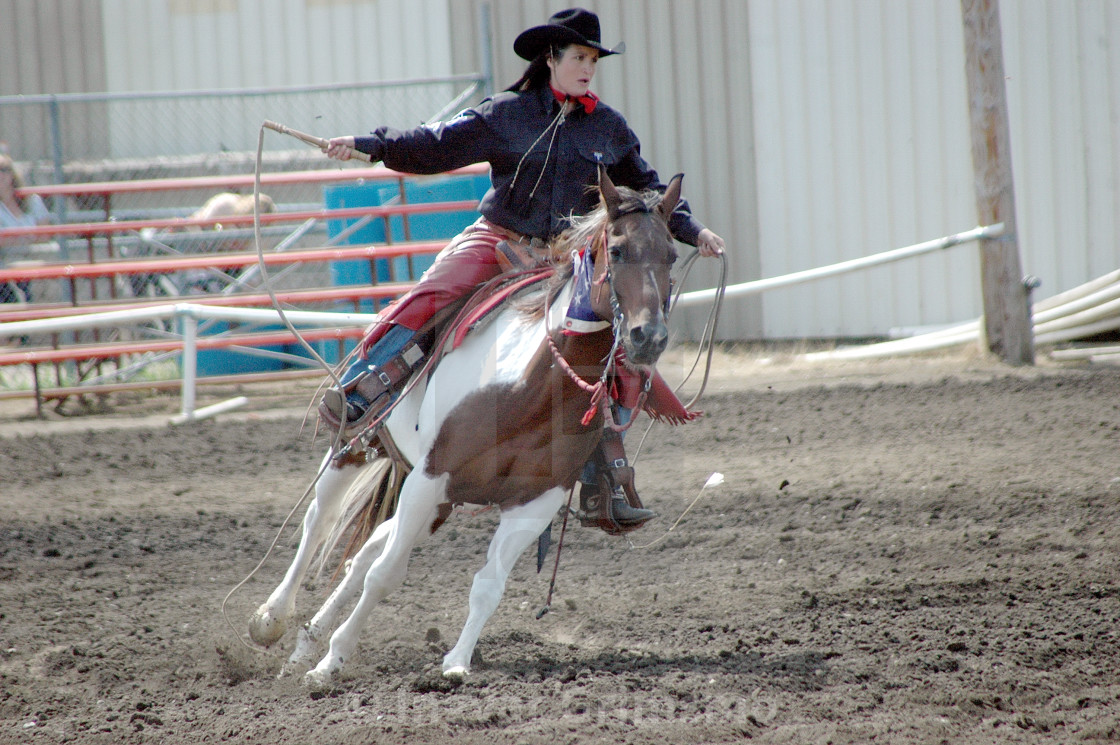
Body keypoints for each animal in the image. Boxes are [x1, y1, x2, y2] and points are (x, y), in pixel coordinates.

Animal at [248, 166, 676, 685]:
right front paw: (332, 663)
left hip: (431, 495)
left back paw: (305, 643)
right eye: (617, 250)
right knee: (320, 522)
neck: (531, 390)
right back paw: (272, 621)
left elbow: (487, 585)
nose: (648, 337)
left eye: (672, 254)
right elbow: (385, 575)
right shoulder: (432, 477)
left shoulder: (533, 503)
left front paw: (455, 662)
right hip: (359, 448)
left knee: (365, 550)